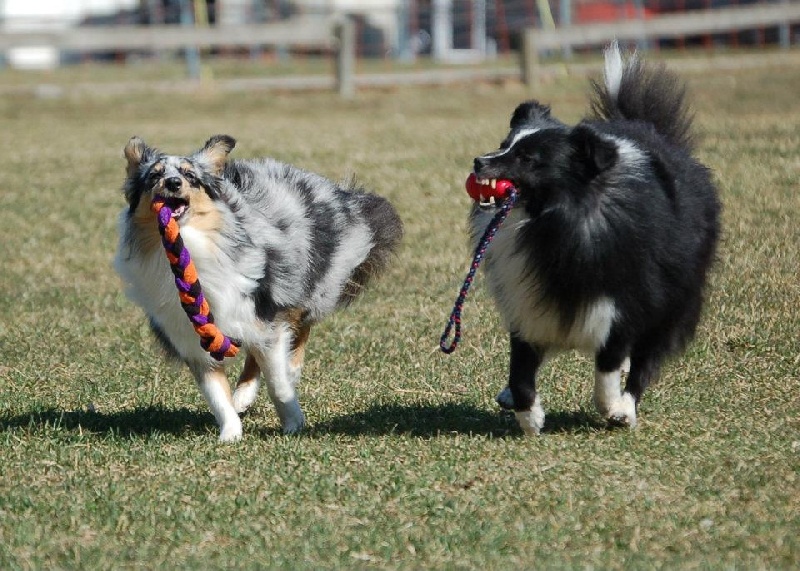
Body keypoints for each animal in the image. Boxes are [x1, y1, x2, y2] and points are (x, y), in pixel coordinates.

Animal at [115, 135, 404, 442]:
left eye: (190, 176)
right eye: (154, 176)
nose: (172, 183)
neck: (192, 242)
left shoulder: (264, 310)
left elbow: (277, 382)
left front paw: (293, 423)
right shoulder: (193, 337)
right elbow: (217, 395)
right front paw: (230, 435)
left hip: (302, 285)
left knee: (299, 330)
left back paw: (289, 369)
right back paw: (243, 395)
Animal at [466, 43, 720, 434]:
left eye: (528, 159)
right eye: (504, 144)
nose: (479, 161)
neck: (553, 222)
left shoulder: (627, 297)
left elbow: (609, 363)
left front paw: (612, 407)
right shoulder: (527, 296)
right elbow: (521, 367)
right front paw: (530, 417)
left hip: (674, 294)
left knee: (645, 356)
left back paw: (626, 406)